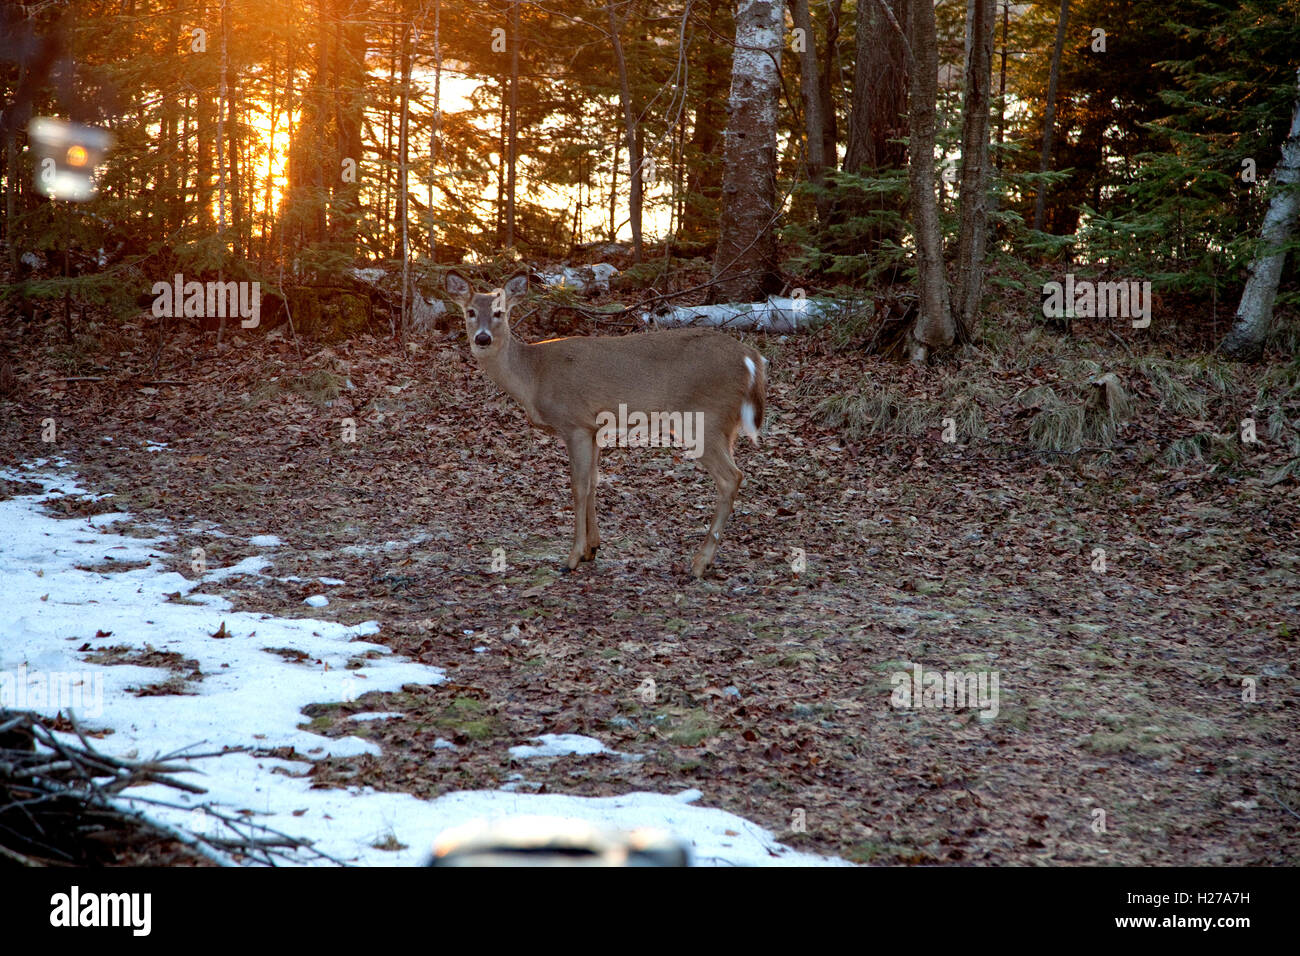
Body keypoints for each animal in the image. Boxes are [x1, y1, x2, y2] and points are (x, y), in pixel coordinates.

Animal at [452, 273, 764, 580]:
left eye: (499, 312)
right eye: (470, 312)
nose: (482, 338)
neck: (533, 376)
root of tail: (751, 358)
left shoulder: (575, 423)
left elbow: (578, 486)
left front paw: (573, 557)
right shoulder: (594, 430)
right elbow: (593, 481)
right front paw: (592, 548)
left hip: (703, 419)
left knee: (731, 477)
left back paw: (699, 564)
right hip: (725, 426)